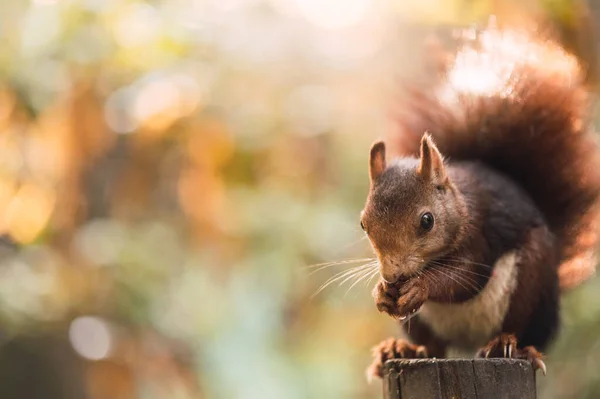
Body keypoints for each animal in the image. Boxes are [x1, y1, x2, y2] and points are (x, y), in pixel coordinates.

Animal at [364, 21, 600, 382]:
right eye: (364, 224)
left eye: (427, 221)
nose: (393, 276)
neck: (460, 208)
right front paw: (381, 293)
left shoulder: (480, 236)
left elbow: (466, 278)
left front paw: (420, 286)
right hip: (422, 323)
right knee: (432, 347)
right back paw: (401, 350)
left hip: (531, 284)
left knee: (522, 331)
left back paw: (510, 346)